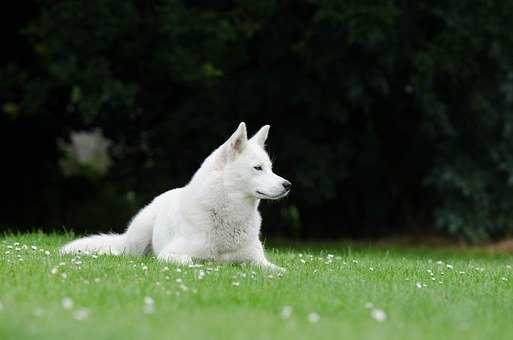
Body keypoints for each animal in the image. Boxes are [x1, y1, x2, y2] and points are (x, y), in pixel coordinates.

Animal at [61, 123, 288, 270]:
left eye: (270, 168)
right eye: (257, 168)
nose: (288, 185)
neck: (227, 215)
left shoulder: (258, 260)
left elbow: (277, 271)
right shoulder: (171, 254)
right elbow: (190, 262)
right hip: (138, 237)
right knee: (126, 252)